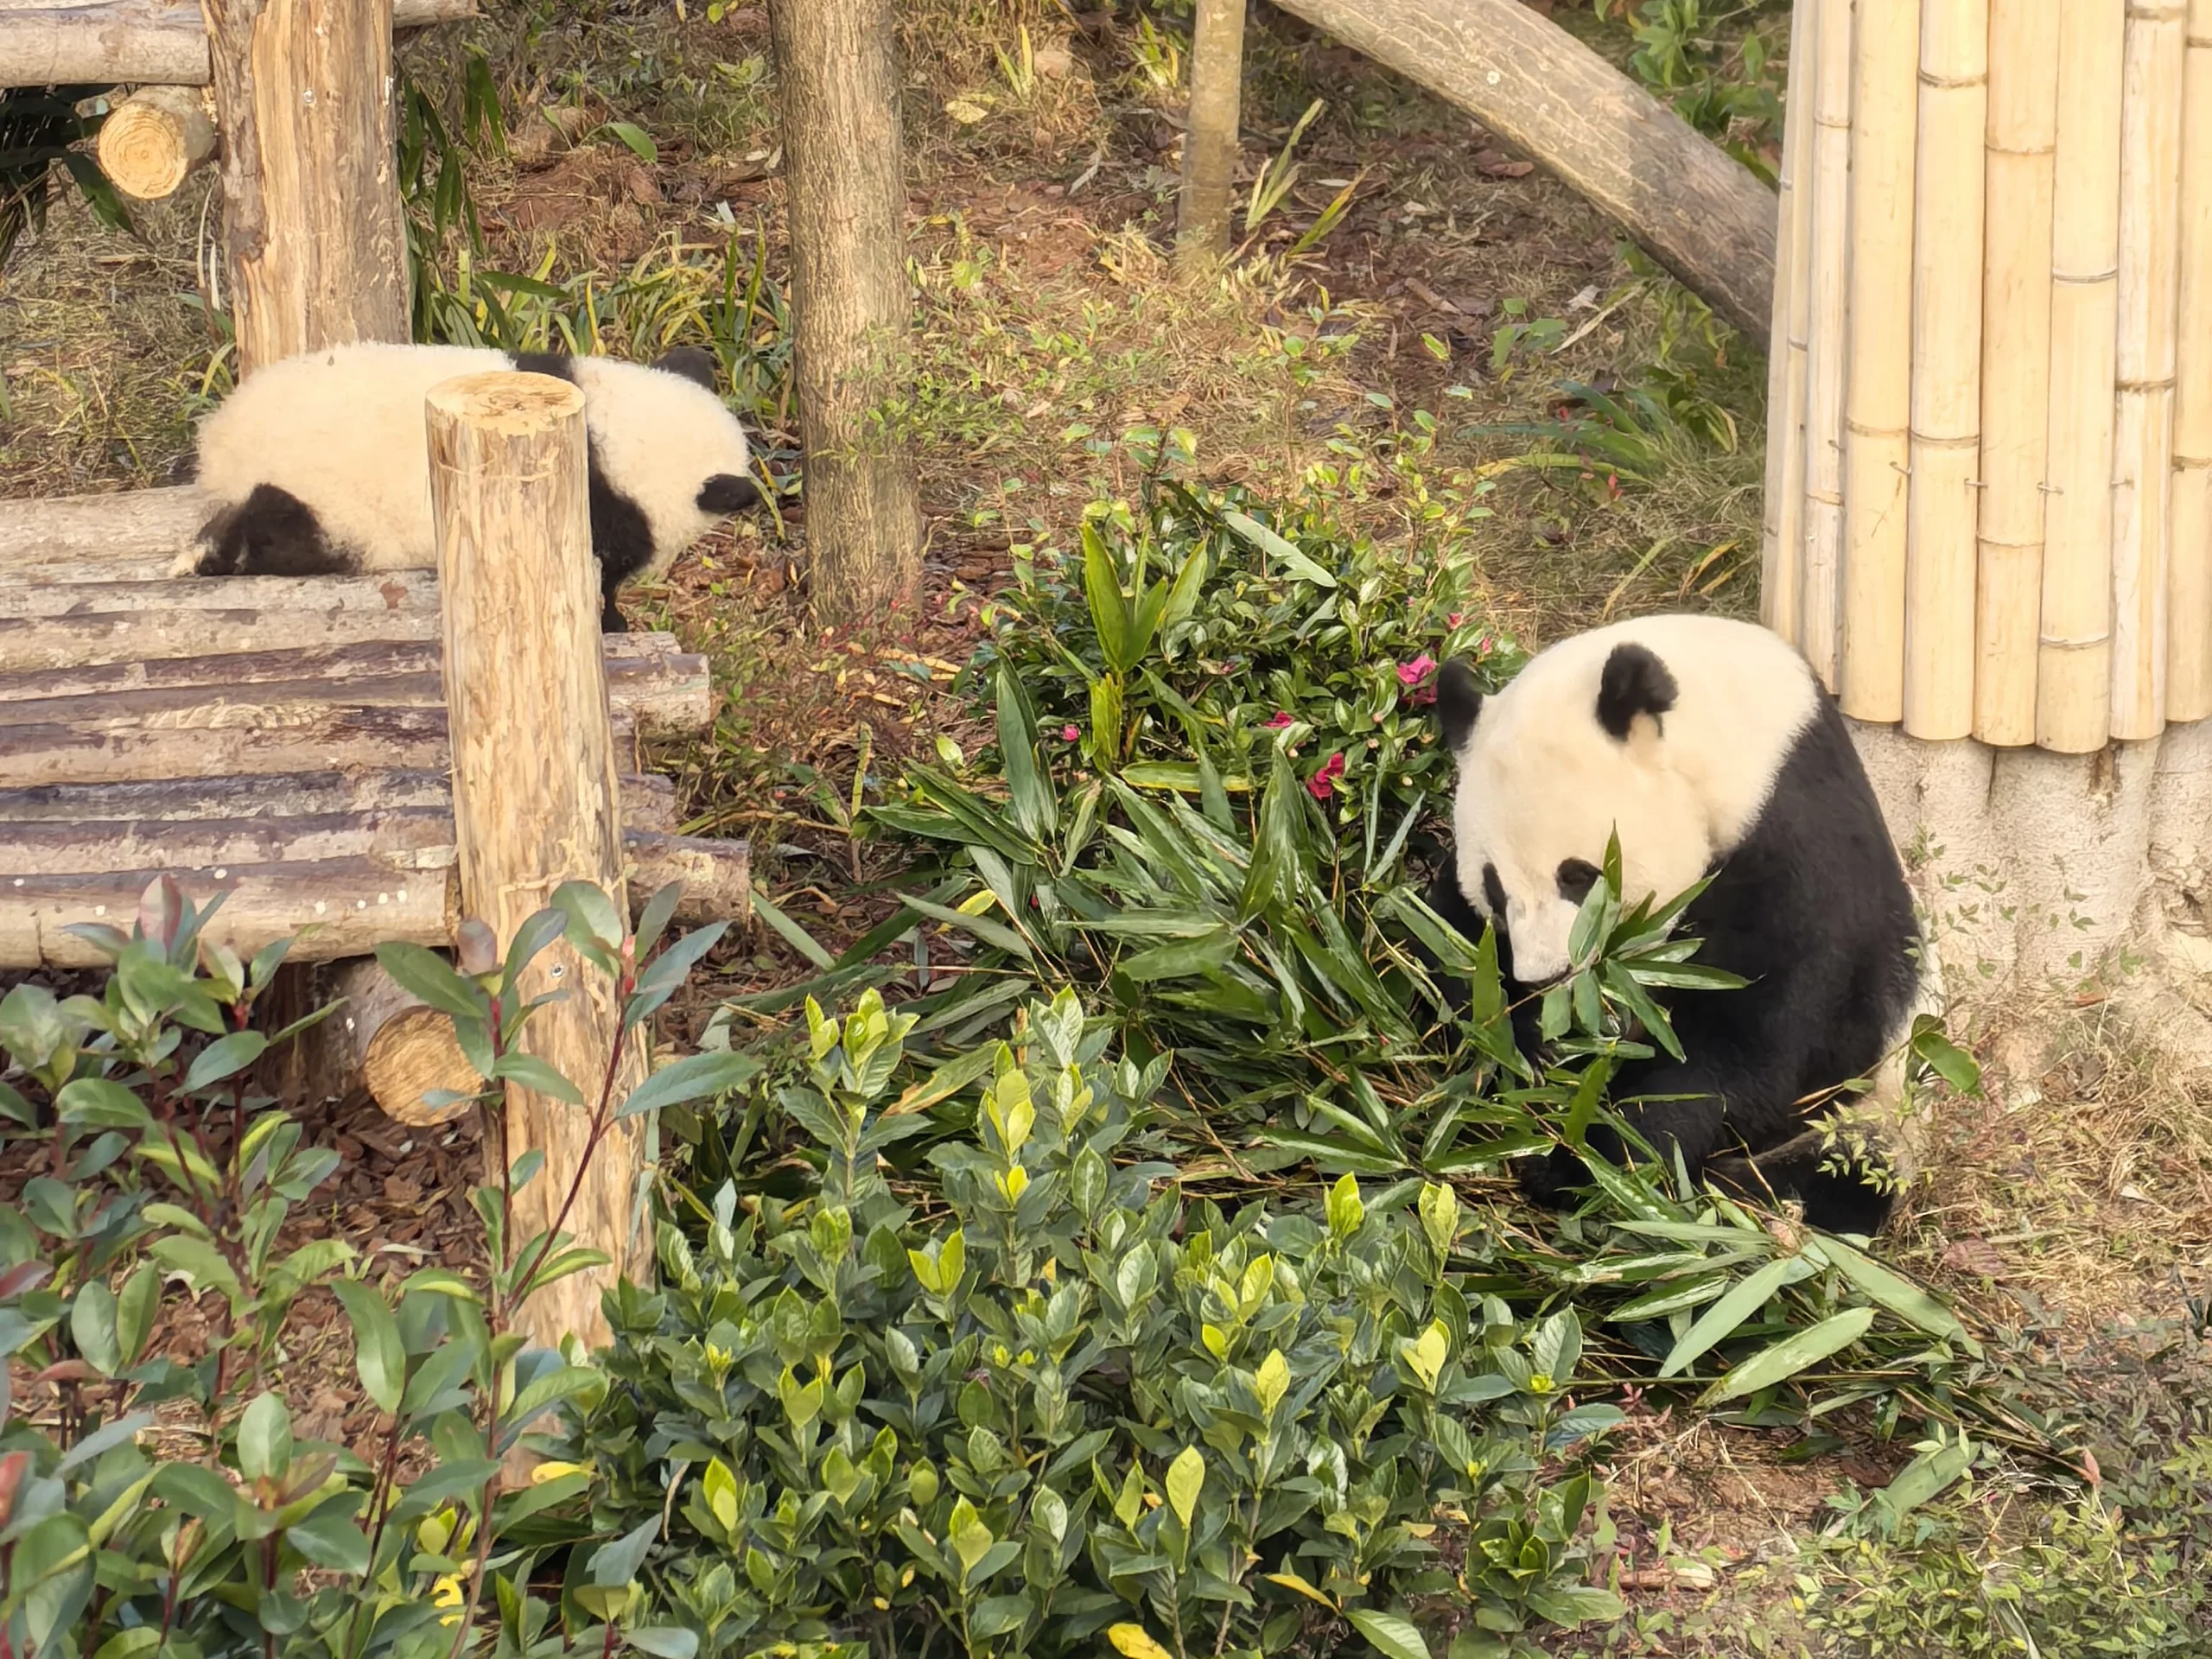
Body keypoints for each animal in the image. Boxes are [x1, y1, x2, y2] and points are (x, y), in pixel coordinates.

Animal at [174, 342, 760, 632]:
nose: (755, 492)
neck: (612, 434)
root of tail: (222, 447)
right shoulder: (598, 510)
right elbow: (600, 579)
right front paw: (615, 622)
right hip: (333, 507)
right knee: (281, 535)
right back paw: (208, 557)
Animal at [1423, 613, 1922, 1235]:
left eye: (1579, 876)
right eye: (1494, 887)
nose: (1548, 976)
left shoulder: (1800, 838)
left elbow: (1767, 1042)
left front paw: (1578, 1162)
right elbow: (1446, 949)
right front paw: (1529, 1049)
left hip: (1878, 1110)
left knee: (1840, 1175)